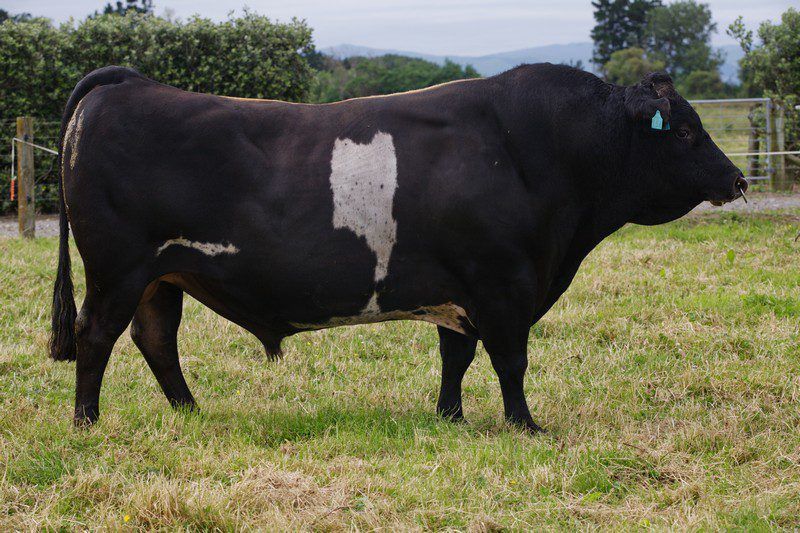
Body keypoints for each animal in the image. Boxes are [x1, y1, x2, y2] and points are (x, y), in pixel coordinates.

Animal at [50, 64, 746, 433]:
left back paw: (191, 413)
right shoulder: (503, 284)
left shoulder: (459, 290)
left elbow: (456, 358)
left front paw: (451, 418)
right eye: (686, 131)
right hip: (118, 269)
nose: (738, 179)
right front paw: (525, 425)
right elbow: (511, 361)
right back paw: (87, 422)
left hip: (161, 275)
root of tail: (128, 83)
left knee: (155, 339)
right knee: (95, 335)